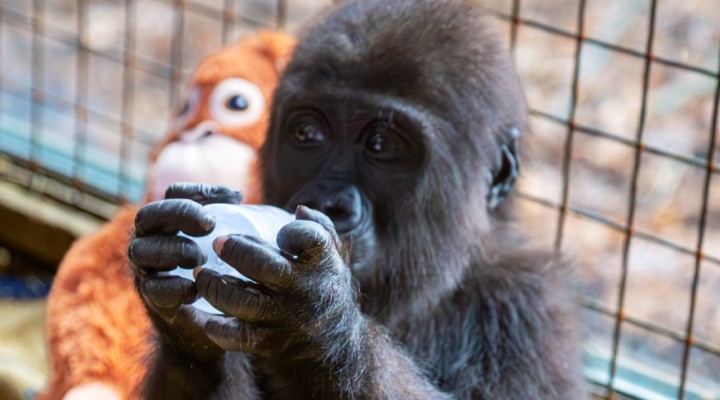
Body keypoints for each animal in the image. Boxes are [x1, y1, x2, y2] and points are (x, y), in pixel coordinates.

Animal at [128, 1, 584, 398]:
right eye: (307, 134)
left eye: (381, 145)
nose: (329, 202)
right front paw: (181, 329)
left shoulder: (527, 308)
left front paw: (316, 323)